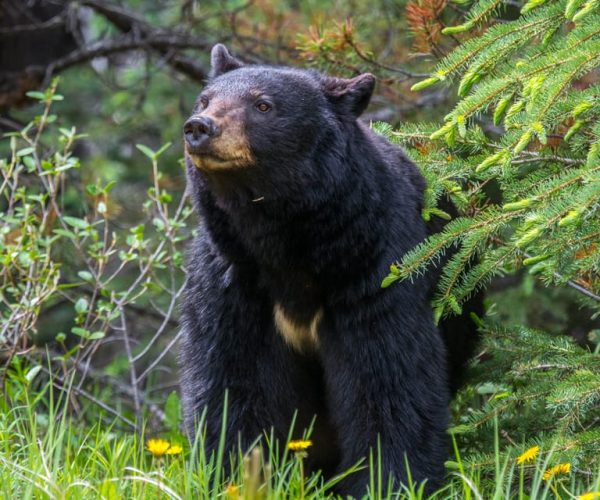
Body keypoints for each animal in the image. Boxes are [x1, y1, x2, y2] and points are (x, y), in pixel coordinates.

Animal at [180, 44, 480, 496]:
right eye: (205, 99)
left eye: (262, 104)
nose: (200, 126)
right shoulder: (233, 279)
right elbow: (231, 378)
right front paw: (234, 476)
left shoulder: (374, 271)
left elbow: (388, 381)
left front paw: (389, 481)